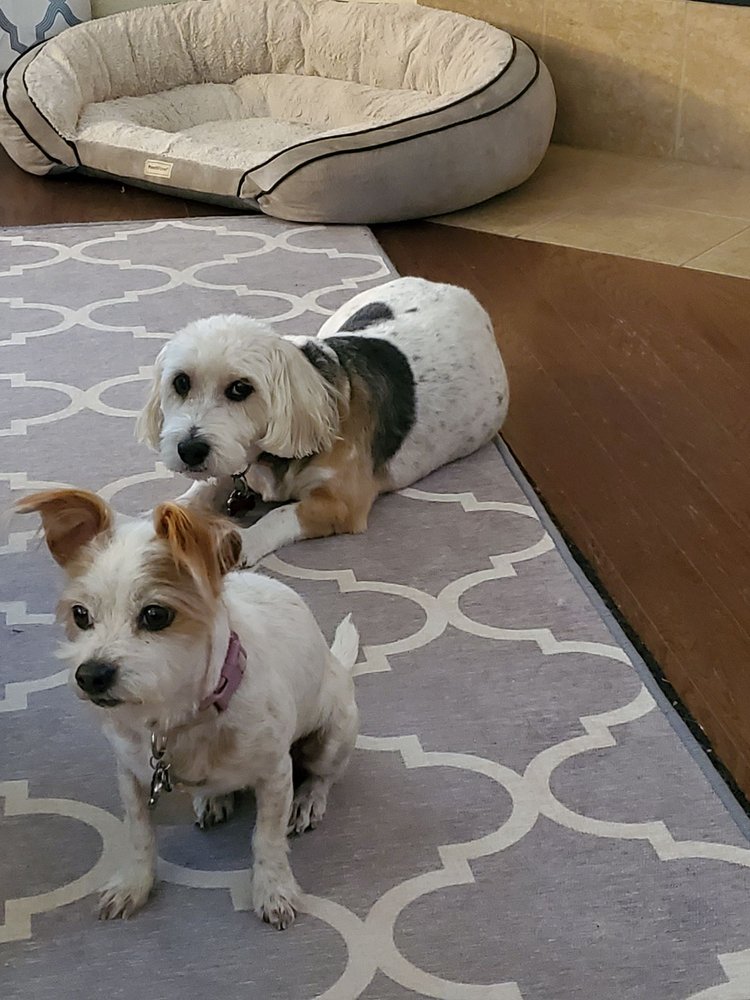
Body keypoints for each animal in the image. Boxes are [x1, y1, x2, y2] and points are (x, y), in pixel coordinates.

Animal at [16, 488, 359, 929]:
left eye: (155, 614)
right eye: (80, 615)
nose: (90, 674)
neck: (177, 719)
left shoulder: (276, 775)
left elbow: (266, 839)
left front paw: (274, 889)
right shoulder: (131, 775)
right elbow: (139, 835)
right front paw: (134, 884)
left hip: (331, 737)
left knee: (323, 775)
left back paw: (308, 801)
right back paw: (213, 798)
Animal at [136, 276, 509, 566]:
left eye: (241, 389)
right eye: (181, 382)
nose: (190, 450)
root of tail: (456, 290)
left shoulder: (343, 504)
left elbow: (280, 514)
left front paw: (244, 543)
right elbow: (198, 492)